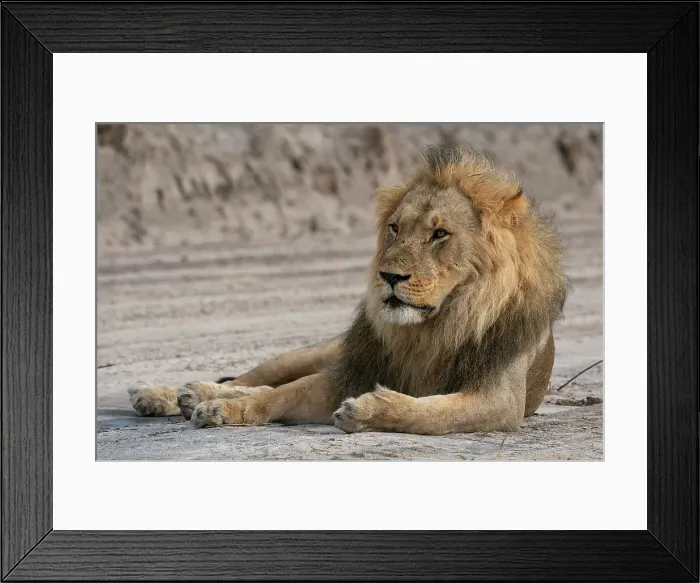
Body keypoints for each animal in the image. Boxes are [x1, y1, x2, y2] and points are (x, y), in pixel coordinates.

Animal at [127, 143, 569, 435]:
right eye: (395, 228)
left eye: (439, 234)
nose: (388, 276)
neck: (433, 328)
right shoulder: (348, 370)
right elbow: (281, 393)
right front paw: (221, 409)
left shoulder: (500, 402)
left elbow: (433, 414)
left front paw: (369, 411)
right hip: (319, 351)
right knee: (258, 377)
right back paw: (169, 394)